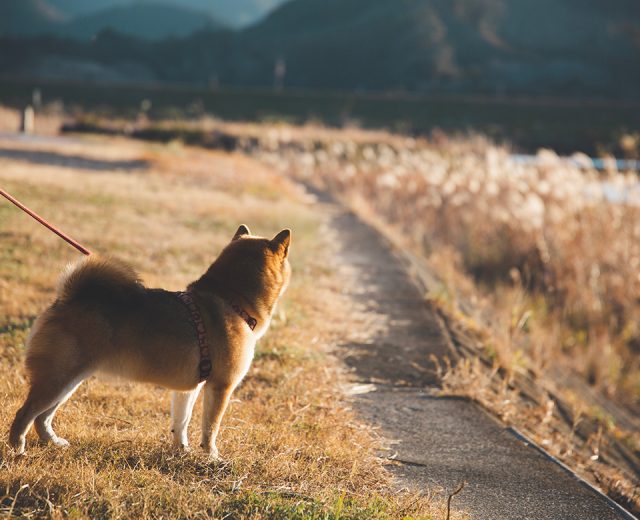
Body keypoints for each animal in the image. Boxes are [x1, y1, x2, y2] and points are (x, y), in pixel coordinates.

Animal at [9, 225, 292, 458]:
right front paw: (212, 456)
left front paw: (181, 449)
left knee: (42, 417)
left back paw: (52, 442)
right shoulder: (221, 386)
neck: (231, 301)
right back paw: (17, 449)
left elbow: (182, 421)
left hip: (69, 380)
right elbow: (210, 427)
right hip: (58, 377)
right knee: (25, 413)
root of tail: (65, 299)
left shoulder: (189, 388)